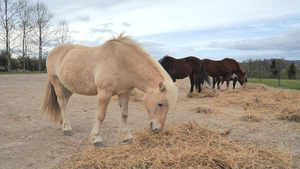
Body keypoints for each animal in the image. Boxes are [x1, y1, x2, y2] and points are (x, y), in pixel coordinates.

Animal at [41, 34, 179, 145]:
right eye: (159, 104)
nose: (157, 129)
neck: (123, 63)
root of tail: (53, 50)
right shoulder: (104, 92)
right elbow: (101, 116)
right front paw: (97, 139)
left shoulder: (125, 94)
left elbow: (124, 115)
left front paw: (127, 137)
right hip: (57, 83)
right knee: (61, 102)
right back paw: (67, 128)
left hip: (68, 88)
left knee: (63, 103)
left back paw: (62, 123)